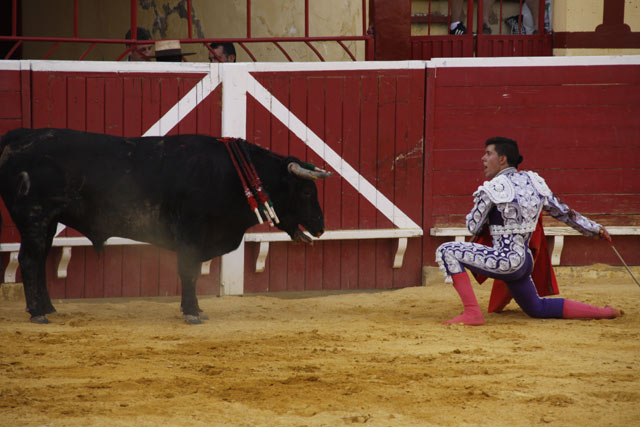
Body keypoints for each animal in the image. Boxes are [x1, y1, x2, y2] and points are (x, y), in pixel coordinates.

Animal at [0, 129, 330, 322]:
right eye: (305, 191)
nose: (320, 226)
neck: (227, 175)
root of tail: (15, 137)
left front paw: (193, 309)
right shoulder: (191, 233)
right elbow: (189, 271)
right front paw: (193, 312)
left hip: (48, 222)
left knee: (40, 259)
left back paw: (48, 308)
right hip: (36, 217)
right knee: (29, 260)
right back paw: (38, 313)